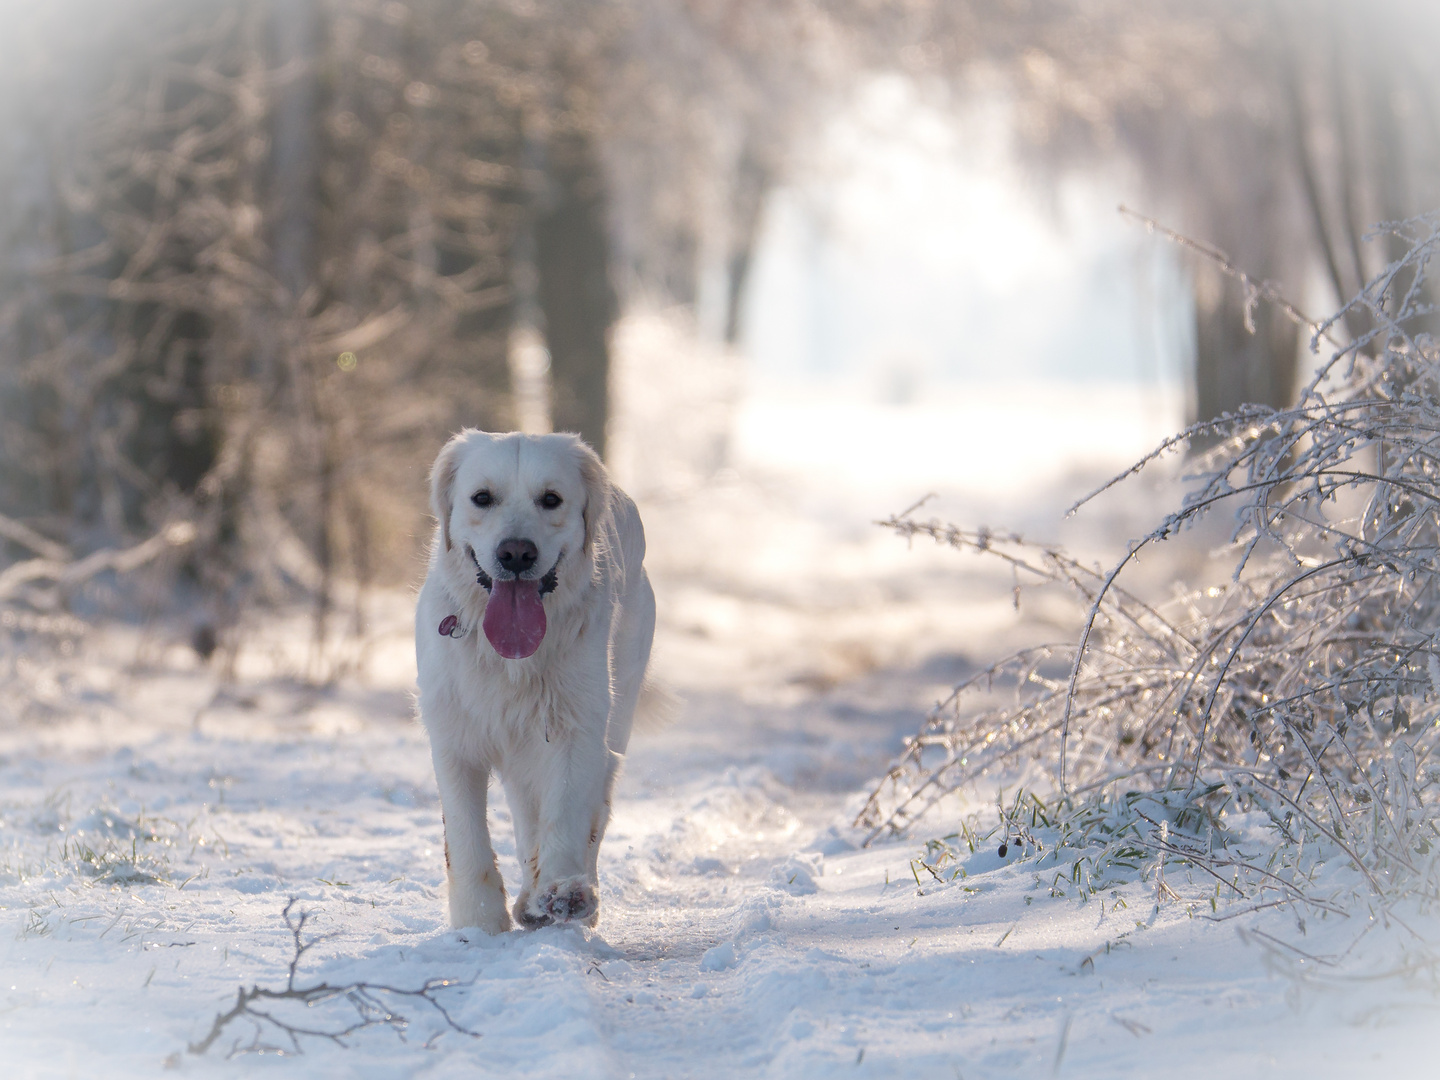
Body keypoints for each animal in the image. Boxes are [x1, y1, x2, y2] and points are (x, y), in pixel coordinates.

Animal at [414, 426, 656, 933]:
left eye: (551, 499)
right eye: (481, 498)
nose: (516, 553)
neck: (509, 656)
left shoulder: (575, 726)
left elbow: (565, 814)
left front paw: (563, 891)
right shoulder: (453, 734)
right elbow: (465, 835)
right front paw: (479, 925)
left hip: (615, 713)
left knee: (594, 807)